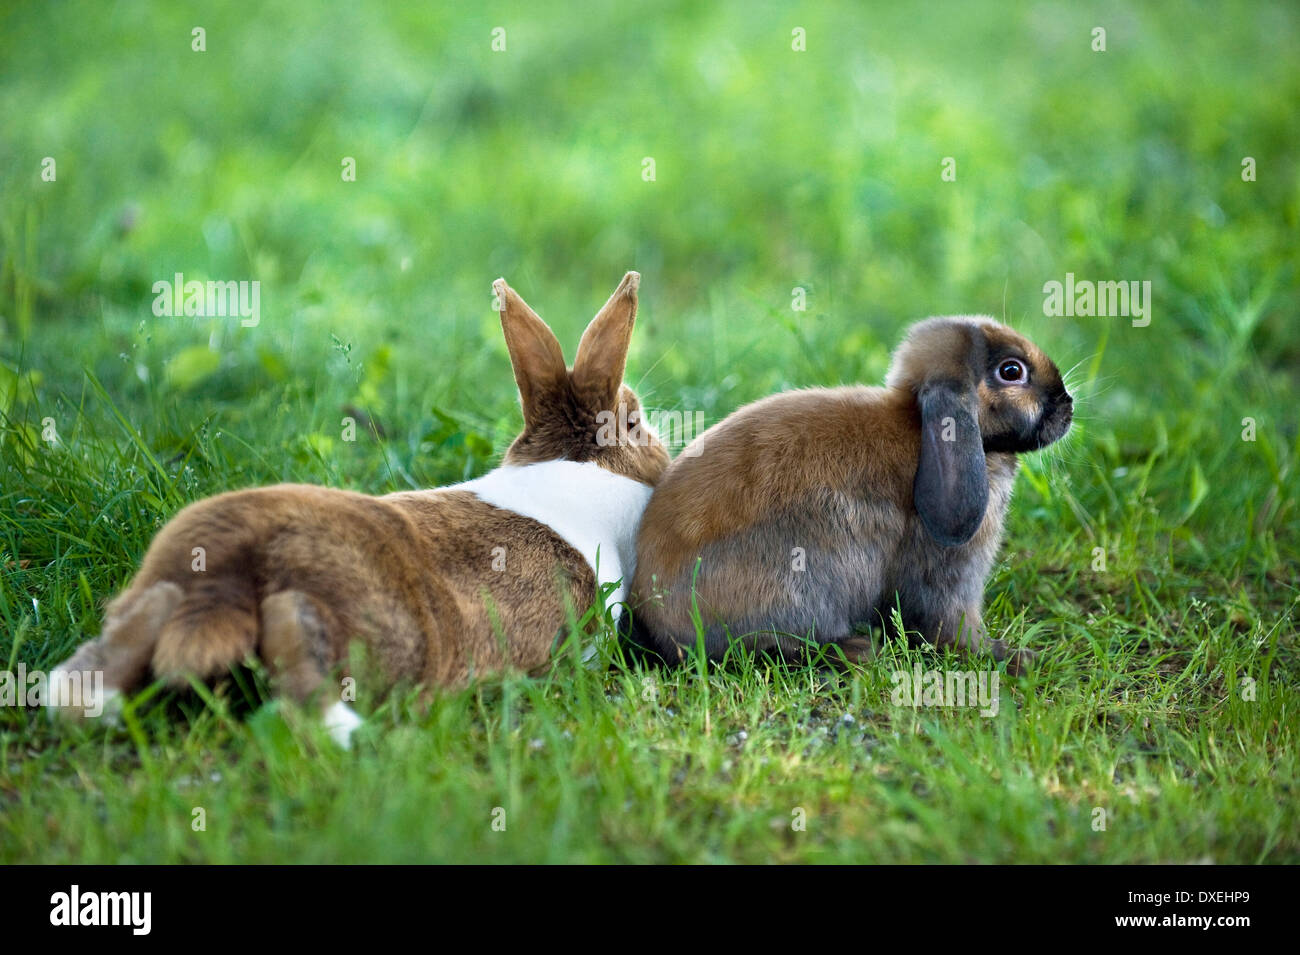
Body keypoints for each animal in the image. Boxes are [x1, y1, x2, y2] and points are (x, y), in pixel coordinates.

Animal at [47, 271, 670, 744]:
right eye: (637, 423)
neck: (573, 470)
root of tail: (220, 572)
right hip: (378, 630)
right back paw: (351, 732)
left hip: (158, 589)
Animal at [627, 315, 1073, 674]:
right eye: (1011, 370)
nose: (1068, 405)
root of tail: (658, 617)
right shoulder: (949, 573)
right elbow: (950, 626)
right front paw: (1014, 658)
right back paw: (854, 649)